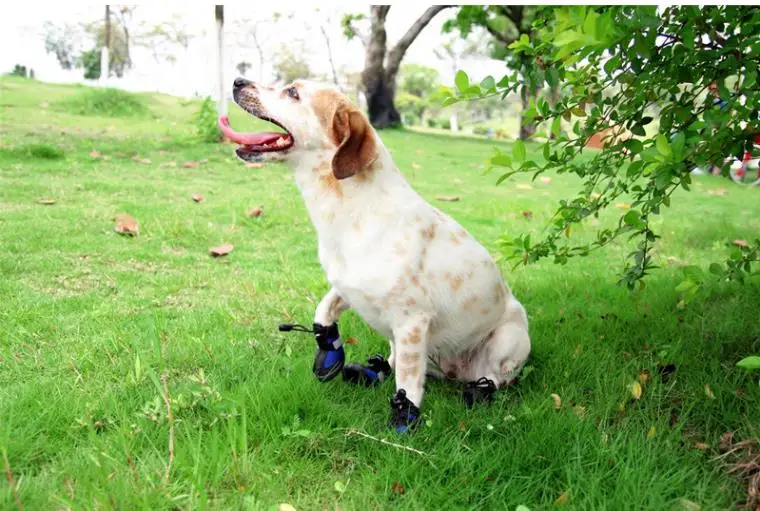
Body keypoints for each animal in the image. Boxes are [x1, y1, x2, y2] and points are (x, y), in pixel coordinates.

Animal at [217, 79, 532, 432]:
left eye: (293, 92)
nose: (237, 81)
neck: (350, 214)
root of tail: (455, 371)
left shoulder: (411, 323)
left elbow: (408, 382)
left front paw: (404, 418)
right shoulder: (348, 287)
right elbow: (323, 309)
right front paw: (329, 348)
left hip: (507, 340)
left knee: (493, 377)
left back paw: (478, 391)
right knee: (393, 361)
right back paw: (371, 371)